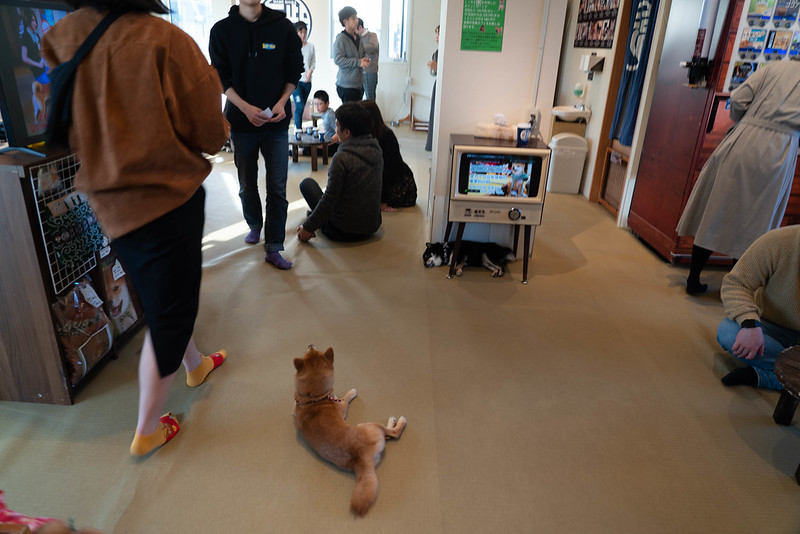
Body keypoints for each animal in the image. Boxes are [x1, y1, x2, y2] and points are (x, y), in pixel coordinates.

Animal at [292, 346, 406, 516]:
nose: (310, 344)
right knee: (393, 434)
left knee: (389, 436)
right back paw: (397, 422)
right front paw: (351, 391)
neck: (314, 400)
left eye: (313, 350)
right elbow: (346, 398)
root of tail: (361, 460)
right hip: (370, 425)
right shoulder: (342, 407)